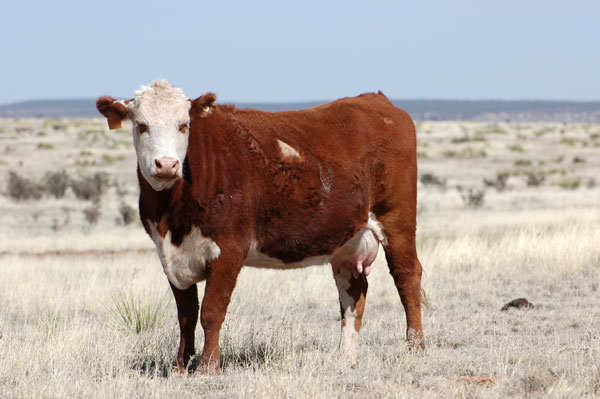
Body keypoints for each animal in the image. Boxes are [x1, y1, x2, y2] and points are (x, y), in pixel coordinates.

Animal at [96, 80, 424, 376]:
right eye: (141, 126)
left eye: (183, 125)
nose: (166, 165)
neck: (173, 217)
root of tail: (376, 100)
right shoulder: (170, 256)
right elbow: (186, 314)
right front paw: (180, 366)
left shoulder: (228, 249)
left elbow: (211, 311)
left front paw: (207, 368)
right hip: (348, 241)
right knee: (353, 293)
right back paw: (345, 358)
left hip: (397, 221)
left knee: (407, 278)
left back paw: (415, 349)